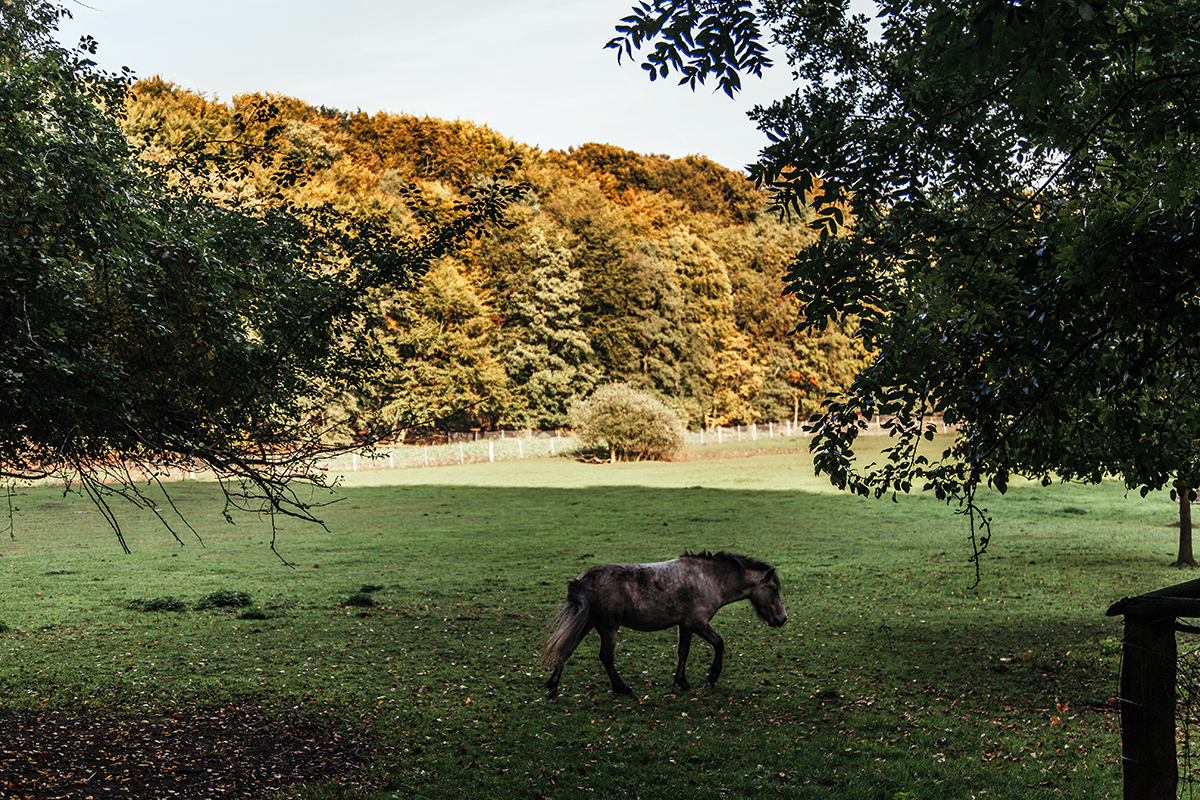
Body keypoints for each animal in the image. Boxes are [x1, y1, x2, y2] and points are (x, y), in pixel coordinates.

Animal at [544, 554, 787, 695]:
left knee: (566, 649)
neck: (707, 578)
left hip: (587, 624)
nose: (782, 618)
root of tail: (582, 580)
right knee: (606, 656)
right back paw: (621, 687)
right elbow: (719, 643)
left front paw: (682, 681)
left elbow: (683, 652)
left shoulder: (685, 625)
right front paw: (713, 674)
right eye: (774, 589)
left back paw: (553, 686)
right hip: (608, 628)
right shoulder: (698, 622)